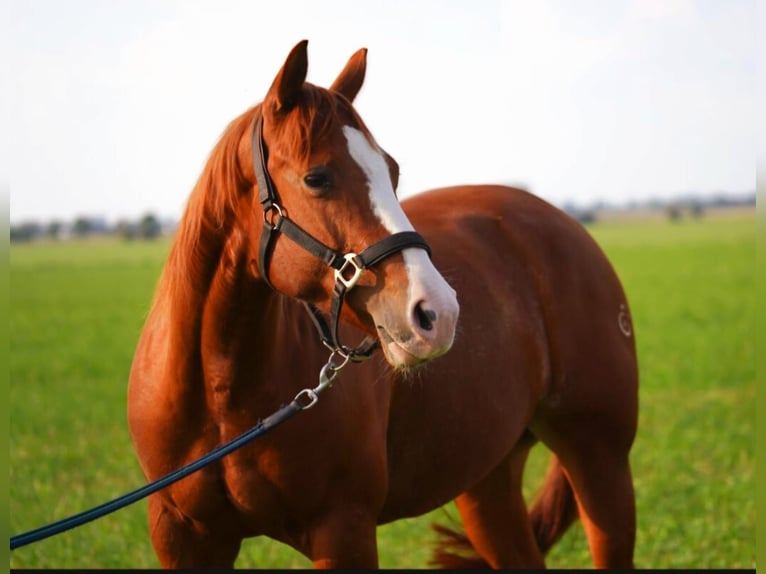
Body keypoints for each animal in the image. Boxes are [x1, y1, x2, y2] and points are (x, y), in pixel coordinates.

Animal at [129, 41, 640, 572]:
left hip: (599, 459)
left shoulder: (344, 531)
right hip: (488, 480)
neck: (222, 397)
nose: (438, 313)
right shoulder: (184, 537)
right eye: (317, 177)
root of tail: (565, 225)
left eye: (391, 171)